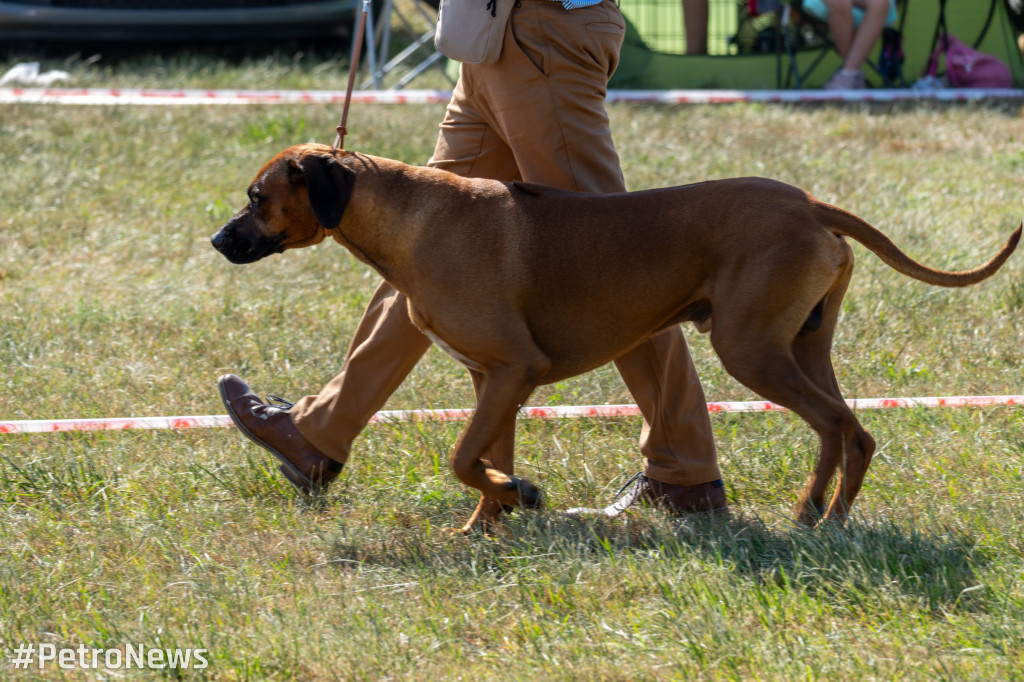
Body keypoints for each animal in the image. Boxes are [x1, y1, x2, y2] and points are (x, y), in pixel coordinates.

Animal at [211, 140, 1019, 528]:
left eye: (256, 196)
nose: (217, 239)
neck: (409, 219)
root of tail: (809, 202)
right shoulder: (492, 380)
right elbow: (484, 463)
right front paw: (488, 524)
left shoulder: (512, 370)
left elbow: (461, 457)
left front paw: (515, 500)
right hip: (802, 346)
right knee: (848, 429)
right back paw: (817, 511)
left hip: (751, 349)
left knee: (844, 427)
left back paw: (826, 519)